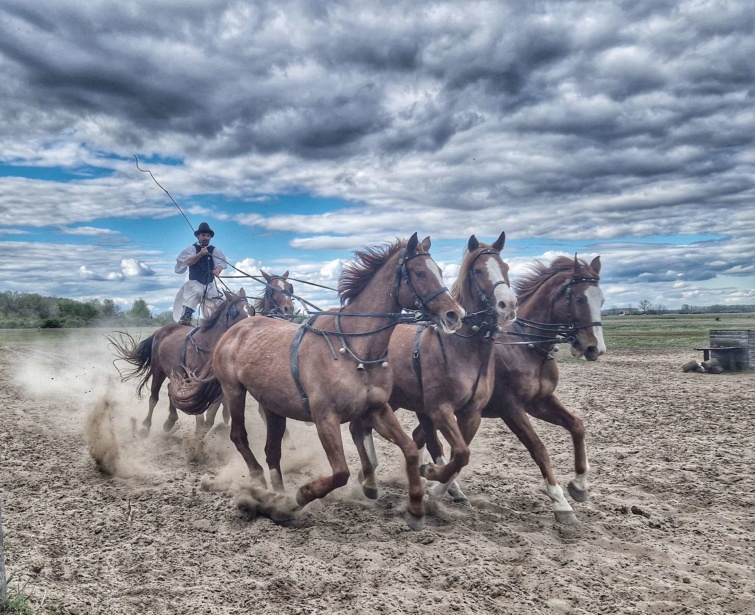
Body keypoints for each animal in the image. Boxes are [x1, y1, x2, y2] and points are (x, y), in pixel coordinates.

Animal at [109, 290, 255, 438]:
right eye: (235, 312)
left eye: (252, 310)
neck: (206, 344)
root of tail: (161, 330)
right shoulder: (194, 382)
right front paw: (199, 431)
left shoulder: (216, 386)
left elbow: (210, 415)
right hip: (158, 370)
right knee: (154, 398)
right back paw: (146, 426)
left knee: (171, 389)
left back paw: (170, 421)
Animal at [173, 233, 466, 532]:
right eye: (419, 273)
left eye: (439, 270)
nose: (456, 314)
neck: (354, 348)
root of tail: (232, 332)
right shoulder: (325, 417)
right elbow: (341, 473)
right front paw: (298, 498)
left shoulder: (377, 409)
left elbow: (410, 449)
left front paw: (418, 504)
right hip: (234, 390)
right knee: (239, 436)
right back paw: (262, 484)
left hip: (273, 405)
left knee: (272, 451)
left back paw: (276, 495)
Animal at [350, 233, 520, 502]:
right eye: (479, 271)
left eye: (505, 268)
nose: (508, 304)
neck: (463, 349)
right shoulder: (440, 409)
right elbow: (459, 452)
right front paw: (430, 474)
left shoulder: (471, 414)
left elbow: (460, 454)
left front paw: (445, 487)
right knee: (358, 427)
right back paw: (370, 478)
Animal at [420, 256, 604, 524]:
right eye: (580, 299)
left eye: (602, 300)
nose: (595, 348)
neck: (526, 346)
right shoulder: (511, 408)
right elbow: (538, 448)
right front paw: (561, 503)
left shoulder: (540, 402)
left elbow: (577, 426)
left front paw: (579, 486)